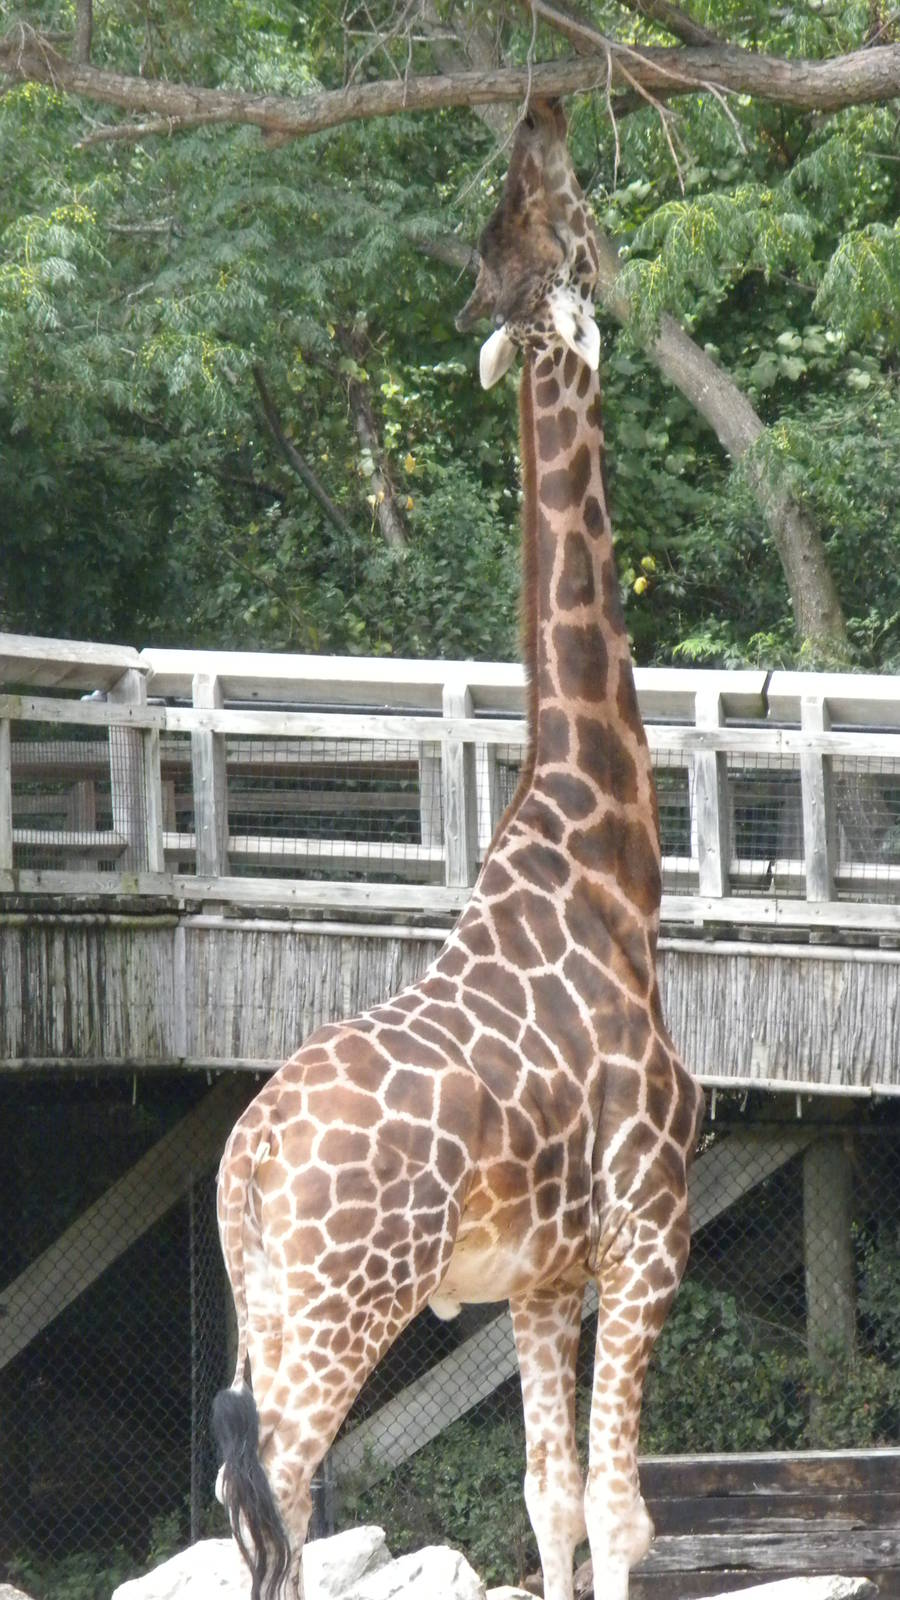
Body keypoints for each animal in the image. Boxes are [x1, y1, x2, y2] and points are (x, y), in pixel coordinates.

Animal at [212, 98, 704, 1600]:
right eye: (574, 216)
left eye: (535, 207)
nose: (546, 107)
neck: (608, 874)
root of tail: (244, 1164)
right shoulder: (652, 1228)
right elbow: (623, 1511)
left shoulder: (543, 1277)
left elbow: (552, 1501)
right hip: (343, 1300)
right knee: (281, 1493)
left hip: (269, 1302)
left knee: (254, 1498)